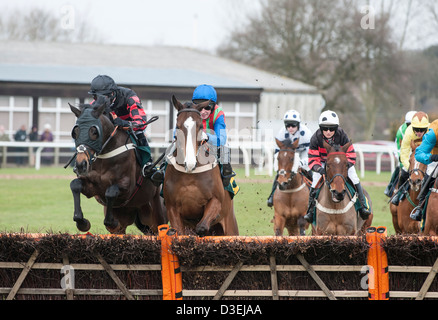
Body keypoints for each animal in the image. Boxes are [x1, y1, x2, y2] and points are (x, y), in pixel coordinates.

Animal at [69, 99, 167, 234]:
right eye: (75, 132)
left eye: (94, 131)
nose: (80, 164)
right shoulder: (92, 186)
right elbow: (75, 185)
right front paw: (82, 222)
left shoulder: (127, 187)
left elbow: (110, 192)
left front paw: (111, 221)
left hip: (156, 216)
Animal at [163, 95, 240, 235]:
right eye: (177, 126)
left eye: (199, 126)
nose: (190, 163)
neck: (190, 174)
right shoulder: (171, 207)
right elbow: (178, 231)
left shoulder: (216, 201)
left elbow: (202, 227)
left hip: (231, 227)